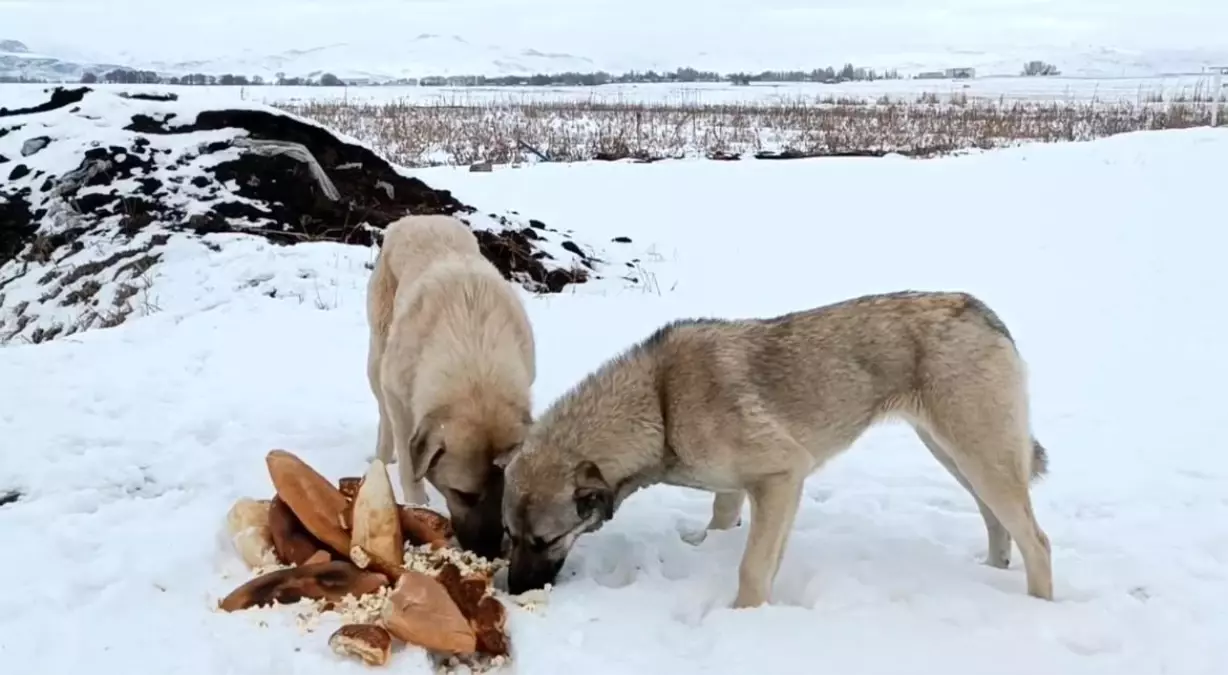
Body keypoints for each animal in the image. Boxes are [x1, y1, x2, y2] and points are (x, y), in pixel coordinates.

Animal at [365, 216, 535, 562]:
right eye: (462, 495)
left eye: (506, 495)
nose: (488, 552)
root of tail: (416, 217)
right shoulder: (401, 403)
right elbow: (409, 466)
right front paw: (415, 505)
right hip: (377, 357)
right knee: (383, 416)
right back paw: (381, 457)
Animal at [498, 290, 1056, 608]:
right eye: (509, 536)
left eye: (547, 540)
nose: (514, 590)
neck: (659, 403)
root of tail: (980, 310)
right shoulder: (741, 490)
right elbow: (725, 524)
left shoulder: (783, 476)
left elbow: (751, 567)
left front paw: (743, 619)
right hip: (957, 454)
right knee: (997, 521)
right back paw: (990, 573)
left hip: (979, 455)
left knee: (1038, 541)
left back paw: (1036, 607)